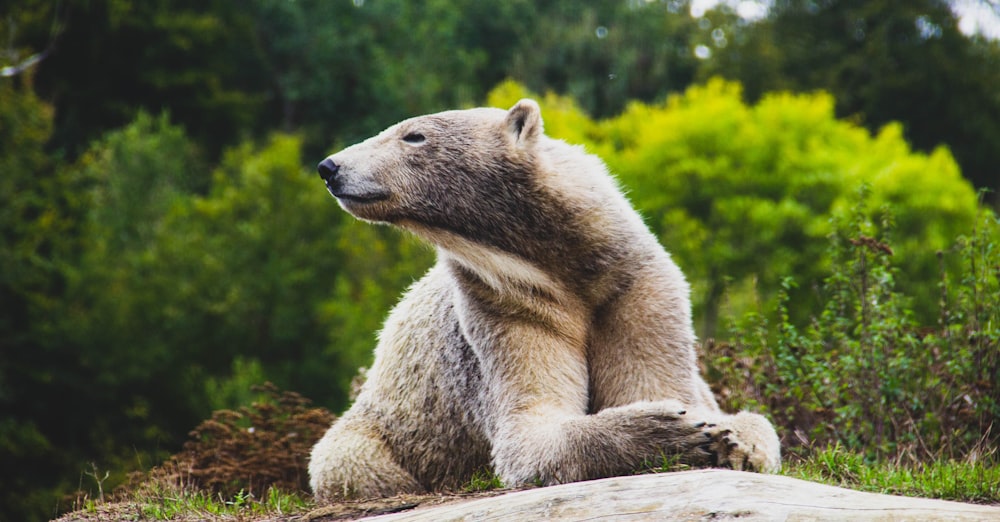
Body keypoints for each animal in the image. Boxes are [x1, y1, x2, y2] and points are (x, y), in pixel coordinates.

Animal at [308, 97, 776, 500]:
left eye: (413, 135)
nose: (329, 166)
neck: (565, 262)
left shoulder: (635, 291)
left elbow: (654, 380)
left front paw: (722, 438)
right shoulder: (505, 305)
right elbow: (532, 427)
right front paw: (672, 429)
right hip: (373, 430)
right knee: (347, 461)